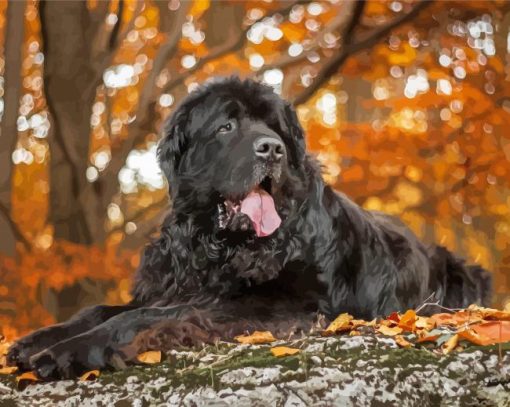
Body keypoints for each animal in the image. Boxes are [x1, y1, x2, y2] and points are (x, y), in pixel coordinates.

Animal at [5, 75, 492, 380]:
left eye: (276, 128)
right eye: (226, 126)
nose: (272, 149)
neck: (217, 245)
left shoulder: (285, 304)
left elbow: (150, 315)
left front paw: (69, 352)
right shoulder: (173, 283)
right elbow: (101, 309)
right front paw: (36, 340)